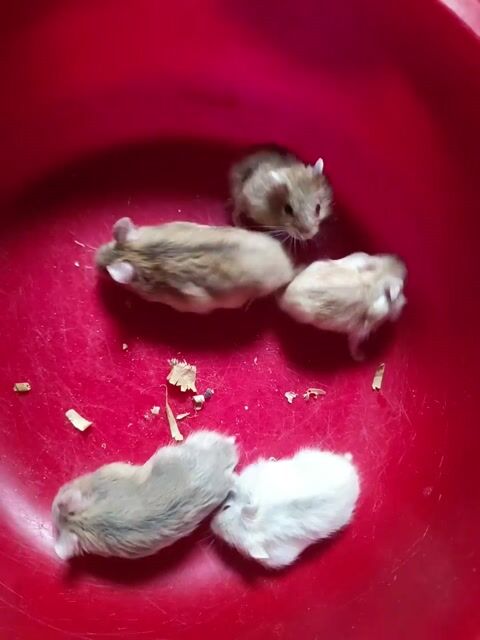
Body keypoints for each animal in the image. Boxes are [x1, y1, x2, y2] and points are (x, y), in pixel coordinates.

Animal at [278, 252, 407, 360]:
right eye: (402, 286)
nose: (402, 263)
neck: (375, 280)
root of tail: (286, 295)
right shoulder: (358, 333)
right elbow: (354, 345)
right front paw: (361, 357)